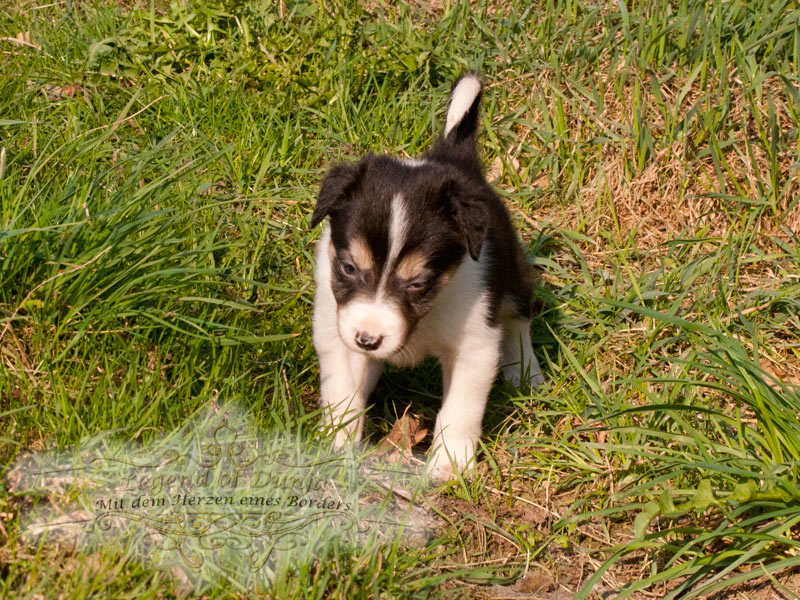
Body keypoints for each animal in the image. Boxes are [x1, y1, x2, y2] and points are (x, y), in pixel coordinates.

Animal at [310, 76, 540, 478]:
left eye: (418, 283)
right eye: (349, 267)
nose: (368, 339)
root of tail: (455, 159)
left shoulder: (476, 347)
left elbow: (460, 410)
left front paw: (450, 464)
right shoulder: (336, 335)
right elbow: (342, 396)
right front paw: (337, 448)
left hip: (511, 274)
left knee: (519, 317)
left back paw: (525, 370)